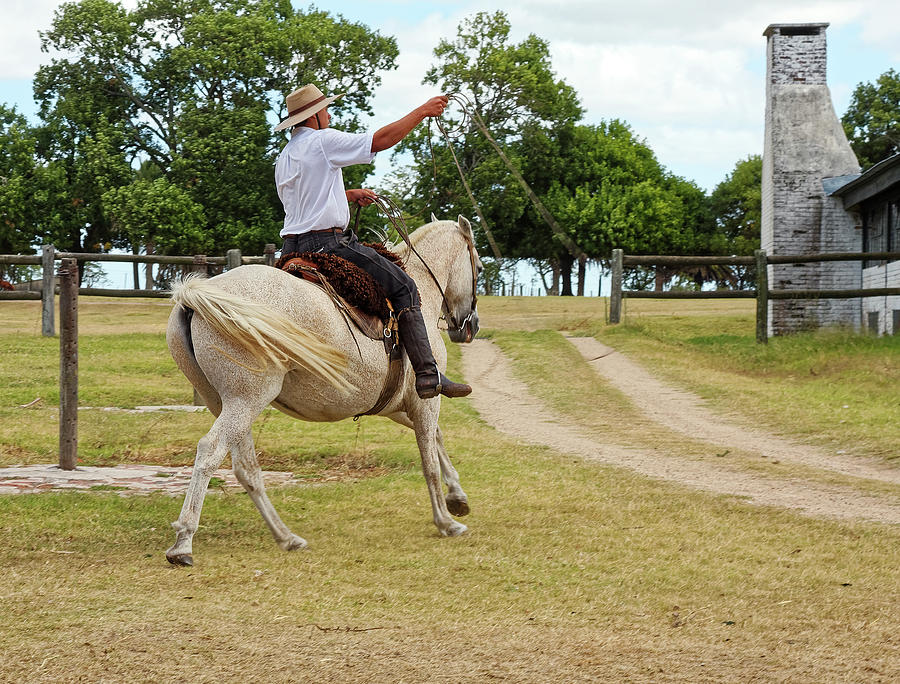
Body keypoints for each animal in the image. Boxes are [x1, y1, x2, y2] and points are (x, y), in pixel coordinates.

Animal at [164, 216, 482, 564]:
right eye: (479, 266)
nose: (470, 326)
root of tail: (196, 298)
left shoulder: (397, 404)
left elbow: (436, 439)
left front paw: (458, 497)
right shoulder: (424, 401)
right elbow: (429, 461)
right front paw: (446, 521)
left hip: (225, 403)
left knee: (246, 468)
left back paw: (287, 537)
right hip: (245, 401)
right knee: (211, 451)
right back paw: (183, 542)